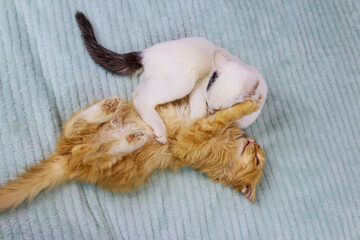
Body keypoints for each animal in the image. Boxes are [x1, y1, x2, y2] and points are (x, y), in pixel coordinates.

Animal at [76, 12, 268, 142]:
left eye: (219, 109)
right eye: (209, 105)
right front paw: (196, 124)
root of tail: (147, 52)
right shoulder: (200, 86)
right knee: (140, 98)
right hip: (183, 82)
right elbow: (197, 112)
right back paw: (160, 128)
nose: (211, 114)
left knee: (140, 91)